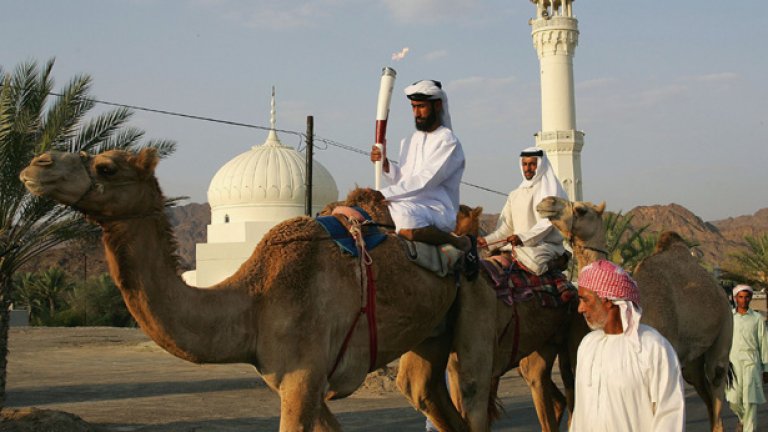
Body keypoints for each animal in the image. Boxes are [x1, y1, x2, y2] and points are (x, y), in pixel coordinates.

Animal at [21, 149, 498, 432]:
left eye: (106, 167)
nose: (37, 164)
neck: (255, 301)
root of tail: (473, 233)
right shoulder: (297, 380)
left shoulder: (303, 377)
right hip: (430, 332)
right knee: (426, 391)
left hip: (479, 301)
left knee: (474, 391)